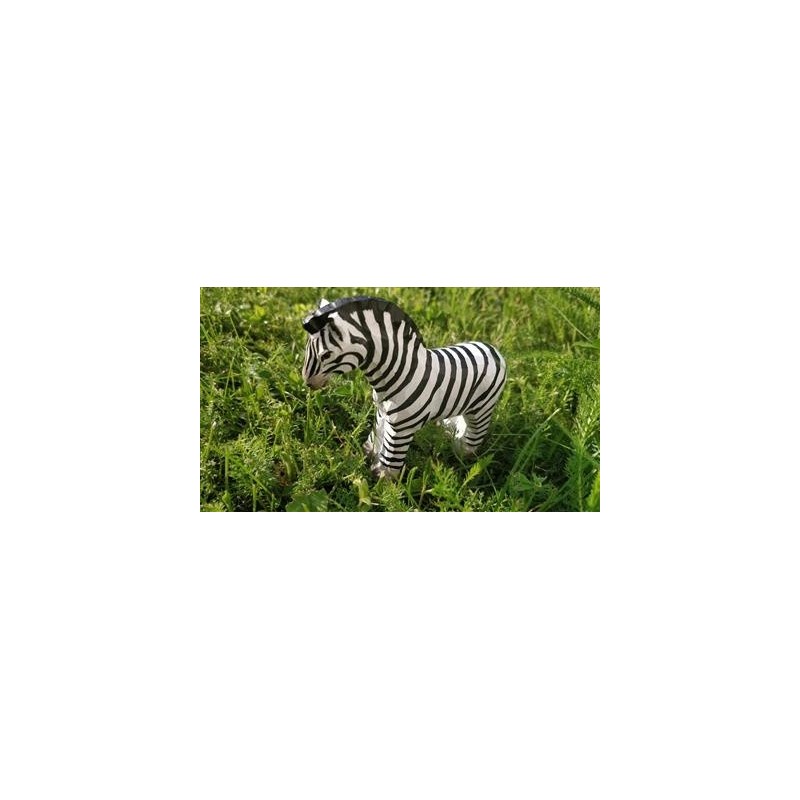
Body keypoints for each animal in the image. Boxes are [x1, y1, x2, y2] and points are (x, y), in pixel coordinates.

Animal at [301, 295, 507, 479]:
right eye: (307, 348)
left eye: (325, 354)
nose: (308, 383)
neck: (401, 373)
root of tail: (492, 350)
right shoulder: (383, 413)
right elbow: (377, 436)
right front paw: (368, 455)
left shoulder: (401, 428)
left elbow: (390, 458)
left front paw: (382, 479)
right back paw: (449, 432)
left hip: (481, 408)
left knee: (474, 433)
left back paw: (462, 453)